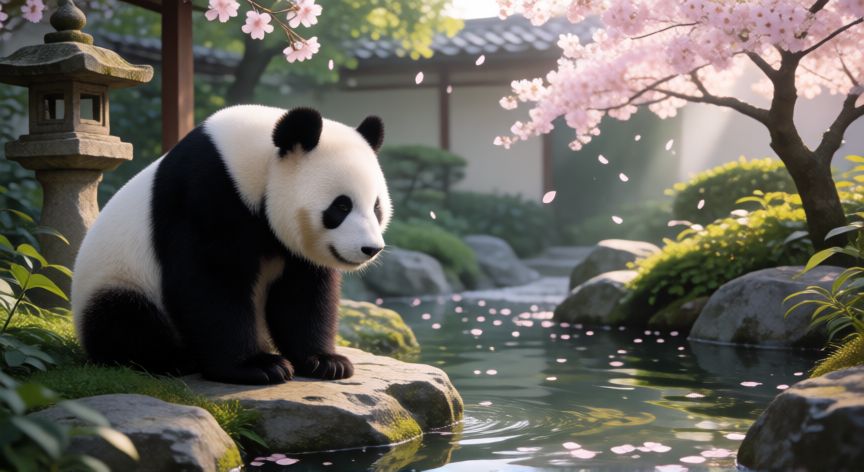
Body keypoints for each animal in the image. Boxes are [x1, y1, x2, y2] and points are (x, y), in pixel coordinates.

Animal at [70, 105, 391, 385]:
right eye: (341, 206)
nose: (370, 249)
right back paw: (176, 359)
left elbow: (304, 292)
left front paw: (325, 361)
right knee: (125, 320)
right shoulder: (205, 193)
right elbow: (211, 281)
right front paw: (257, 367)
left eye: (376, 207)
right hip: (119, 278)